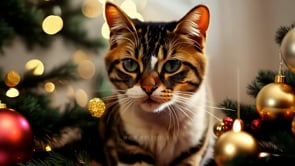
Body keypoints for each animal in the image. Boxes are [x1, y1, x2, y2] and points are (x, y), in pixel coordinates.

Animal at [98, 1, 219, 166]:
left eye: (172, 65)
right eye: (130, 64)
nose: (148, 87)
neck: (161, 124)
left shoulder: (194, 150)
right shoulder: (129, 149)